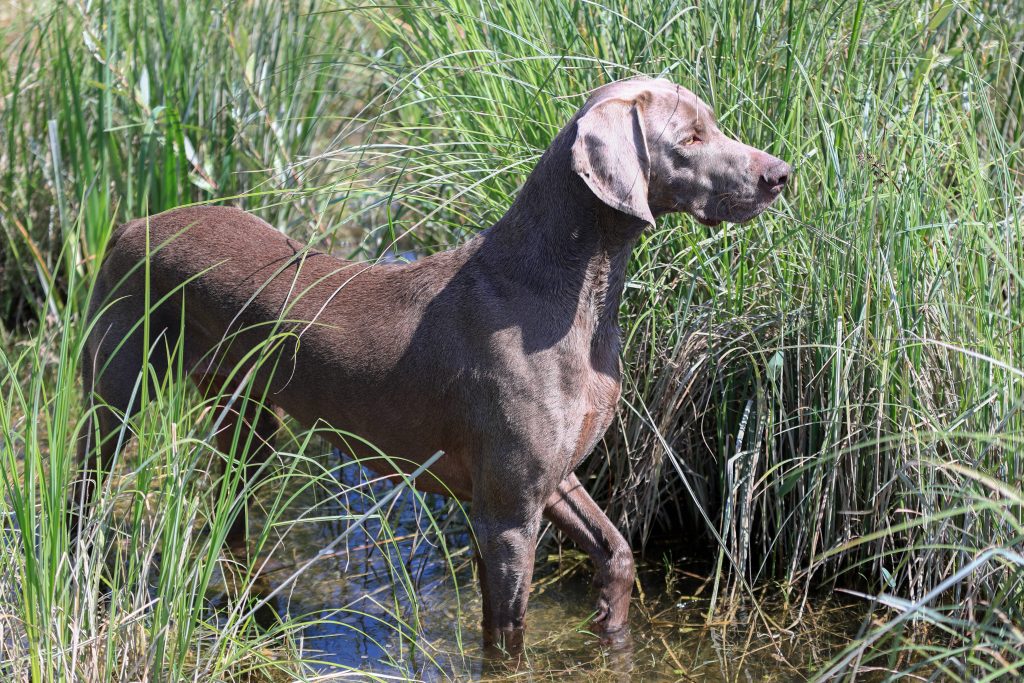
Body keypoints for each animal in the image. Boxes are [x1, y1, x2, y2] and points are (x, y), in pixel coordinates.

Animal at [74, 77, 790, 655]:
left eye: (713, 123)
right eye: (690, 137)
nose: (780, 174)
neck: (568, 290)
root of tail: (130, 225)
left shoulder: (548, 477)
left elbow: (615, 551)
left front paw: (610, 630)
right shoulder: (507, 514)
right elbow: (508, 633)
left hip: (248, 412)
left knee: (231, 515)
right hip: (118, 389)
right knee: (87, 483)